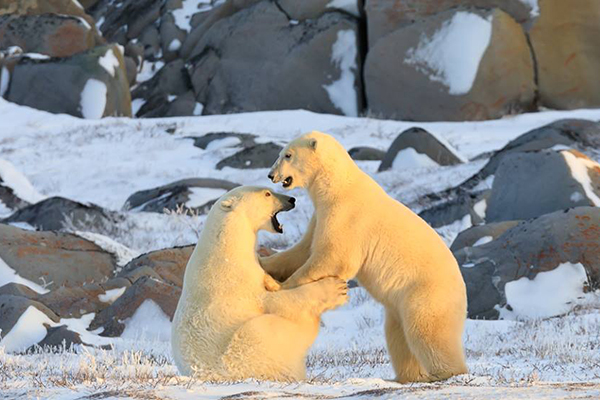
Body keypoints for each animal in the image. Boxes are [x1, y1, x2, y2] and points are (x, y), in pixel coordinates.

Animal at [170, 185, 346, 382]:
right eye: (267, 193)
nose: (291, 199)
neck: (227, 248)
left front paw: (272, 280)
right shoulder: (238, 279)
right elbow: (274, 301)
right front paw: (336, 289)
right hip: (245, 352)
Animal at [264, 132, 468, 384]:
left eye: (288, 155)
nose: (271, 174)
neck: (337, 186)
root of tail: (463, 291)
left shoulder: (346, 216)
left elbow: (334, 257)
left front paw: (281, 286)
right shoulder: (320, 215)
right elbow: (301, 251)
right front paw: (264, 260)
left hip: (426, 294)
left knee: (427, 332)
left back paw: (443, 373)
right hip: (398, 307)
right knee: (397, 335)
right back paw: (406, 376)